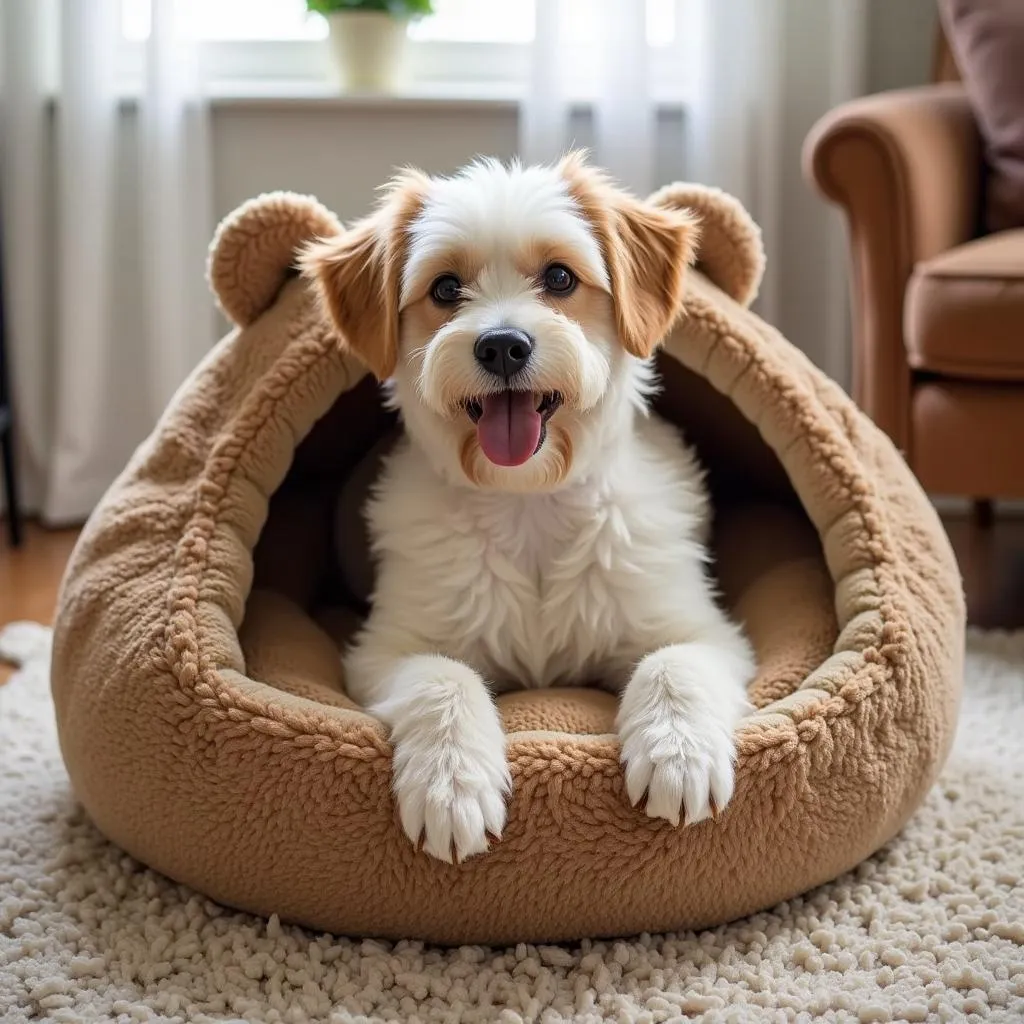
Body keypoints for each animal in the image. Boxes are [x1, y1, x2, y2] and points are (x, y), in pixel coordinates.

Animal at [299, 153, 757, 864]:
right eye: (445, 288)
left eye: (560, 277)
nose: (503, 346)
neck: (529, 504)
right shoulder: (387, 651)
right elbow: (445, 679)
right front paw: (452, 783)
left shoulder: (702, 632)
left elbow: (670, 664)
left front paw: (679, 754)